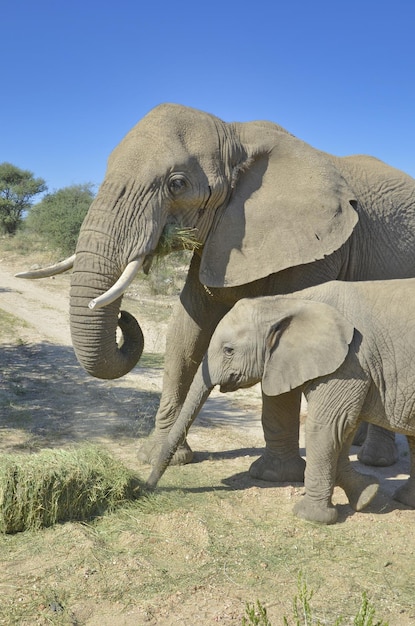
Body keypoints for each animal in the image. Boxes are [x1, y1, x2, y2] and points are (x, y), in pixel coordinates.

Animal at [17, 105, 415, 480]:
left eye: (176, 184)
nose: (124, 317)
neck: (236, 135)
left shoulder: (317, 247)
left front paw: (272, 476)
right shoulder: (221, 234)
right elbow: (188, 327)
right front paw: (160, 457)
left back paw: (375, 459)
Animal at [147, 278, 415, 520]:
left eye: (228, 350)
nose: (145, 489)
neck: (290, 302)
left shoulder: (351, 361)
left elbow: (328, 426)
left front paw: (311, 517)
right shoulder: (354, 366)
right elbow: (344, 429)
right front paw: (367, 494)